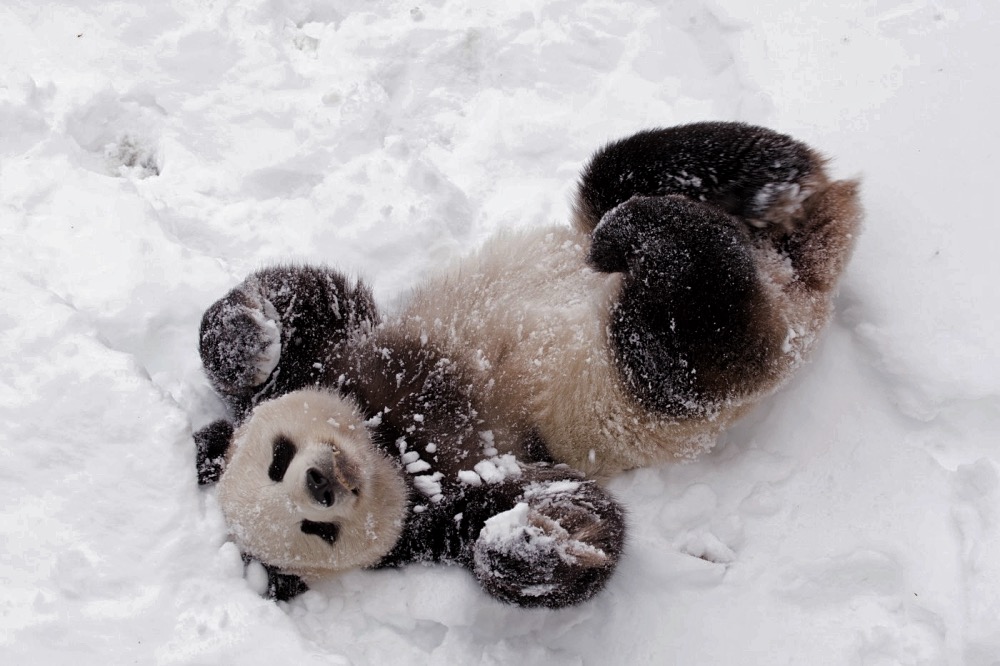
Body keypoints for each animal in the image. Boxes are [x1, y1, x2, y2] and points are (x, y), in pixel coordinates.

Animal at [194, 121, 860, 607]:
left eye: (278, 458)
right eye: (316, 531)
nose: (321, 483)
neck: (391, 442)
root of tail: (797, 273)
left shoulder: (343, 357)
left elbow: (306, 298)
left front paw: (246, 341)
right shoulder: (445, 503)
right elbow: (571, 513)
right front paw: (530, 542)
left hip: (637, 222)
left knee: (630, 169)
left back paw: (750, 190)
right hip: (663, 377)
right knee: (692, 327)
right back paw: (671, 234)